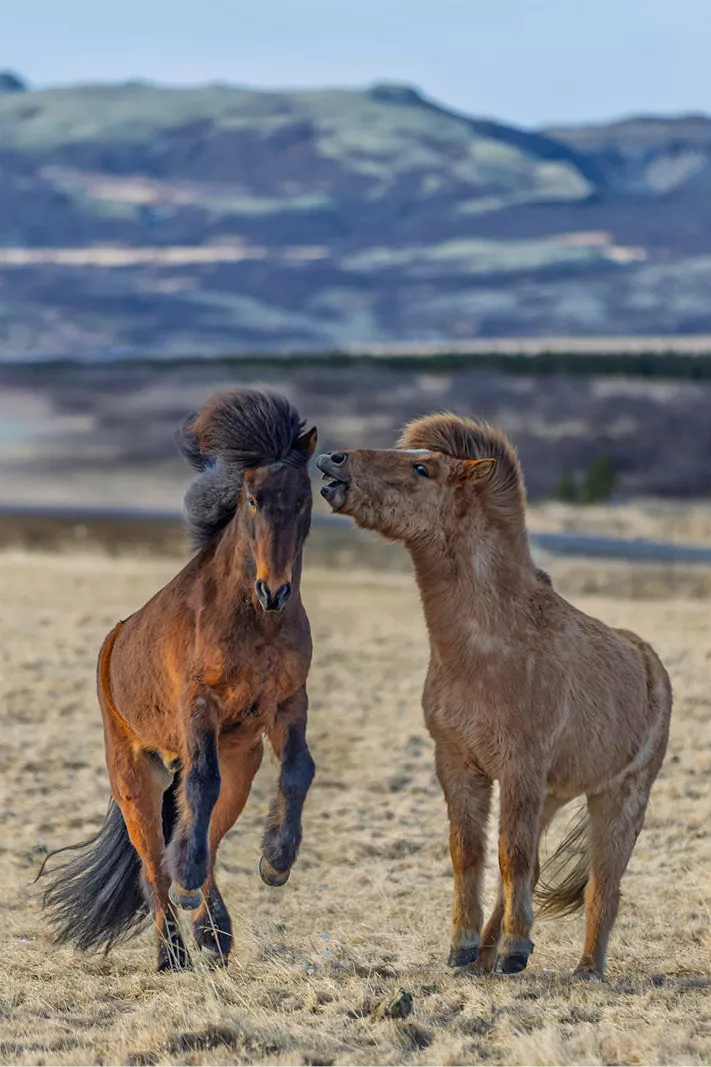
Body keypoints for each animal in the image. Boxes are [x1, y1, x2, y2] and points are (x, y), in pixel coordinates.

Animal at [40, 389, 318, 971]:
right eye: (253, 498)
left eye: (306, 499)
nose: (274, 590)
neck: (253, 620)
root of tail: (113, 642)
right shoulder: (200, 705)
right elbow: (200, 782)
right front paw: (189, 881)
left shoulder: (289, 702)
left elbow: (298, 770)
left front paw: (276, 862)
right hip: (133, 780)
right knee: (152, 867)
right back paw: (174, 951)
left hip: (241, 764)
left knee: (209, 835)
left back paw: (214, 936)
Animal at [317, 414, 672, 978]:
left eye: (423, 468)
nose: (332, 461)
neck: (491, 647)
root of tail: (647, 659)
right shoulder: (460, 765)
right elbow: (473, 853)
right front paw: (463, 948)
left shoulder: (521, 767)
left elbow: (513, 857)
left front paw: (516, 949)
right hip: (552, 794)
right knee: (530, 867)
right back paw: (488, 957)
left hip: (620, 797)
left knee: (603, 882)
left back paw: (584, 969)